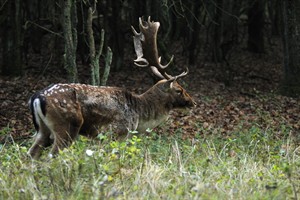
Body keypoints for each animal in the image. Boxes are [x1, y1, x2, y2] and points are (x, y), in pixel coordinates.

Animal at [27, 16, 197, 159]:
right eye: (179, 90)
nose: (193, 102)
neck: (139, 114)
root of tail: (37, 97)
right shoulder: (116, 132)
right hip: (67, 125)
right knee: (52, 155)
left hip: (43, 130)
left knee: (31, 154)